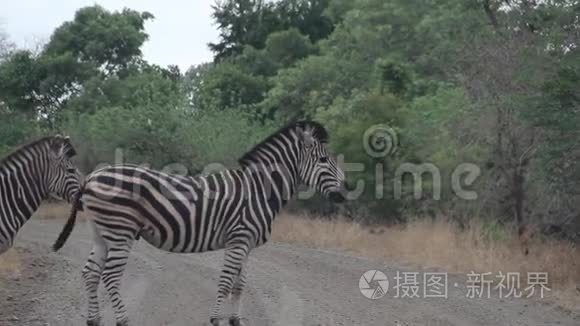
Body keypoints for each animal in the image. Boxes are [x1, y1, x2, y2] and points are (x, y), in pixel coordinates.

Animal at [53, 120, 348, 326]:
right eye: (324, 160)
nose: (346, 192)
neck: (258, 189)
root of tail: (92, 177)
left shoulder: (246, 243)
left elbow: (240, 284)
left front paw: (235, 320)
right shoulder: (238, 239)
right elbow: (226, 282)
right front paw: (216, 319)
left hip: (101, 233)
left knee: (90, 273)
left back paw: (93, 320)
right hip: (120, 231)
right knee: (111, 277)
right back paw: (124, 321)